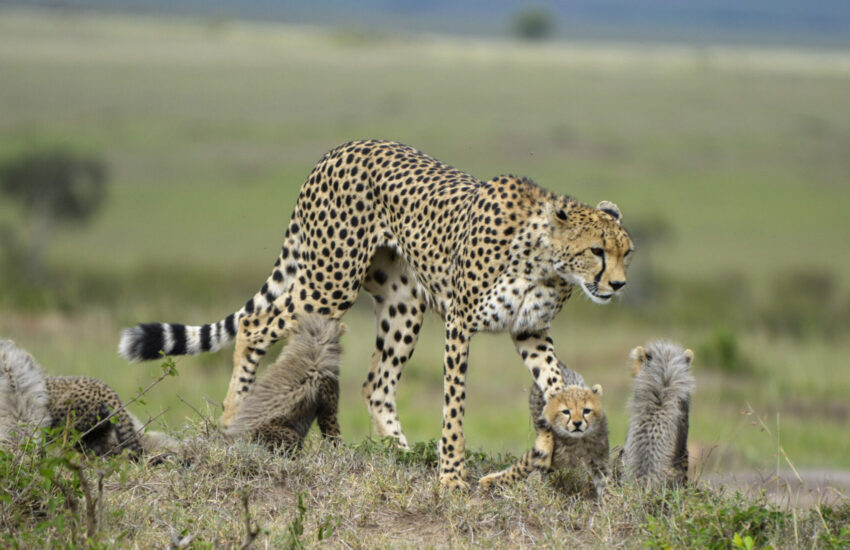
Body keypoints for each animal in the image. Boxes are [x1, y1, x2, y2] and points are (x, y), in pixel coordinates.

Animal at [479, 361, 609, 497]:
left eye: (587, 410)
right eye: (566, 411)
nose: (577, 423)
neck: (576, 441)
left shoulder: (598, 458)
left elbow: (605, 479)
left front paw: (609, 497)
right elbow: (519, 469)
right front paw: (490, 481)